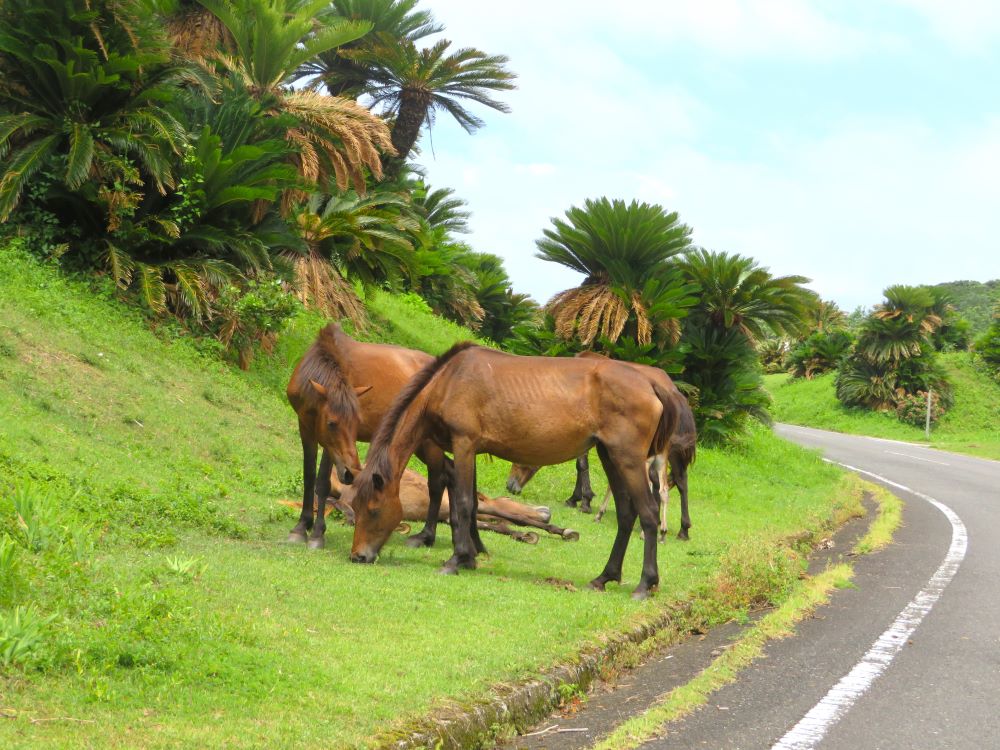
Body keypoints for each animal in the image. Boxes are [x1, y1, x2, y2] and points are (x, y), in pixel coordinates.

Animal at [286, 326, 450, 548]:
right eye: (331, 423)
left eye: (357, 423)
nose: (351, 473)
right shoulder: (306, 428)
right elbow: (309, 476)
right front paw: (301, 527)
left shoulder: (330, 448)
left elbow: (322, 483)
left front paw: (318, 533)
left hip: (430, 444)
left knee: (437, 483)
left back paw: (426, 536)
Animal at [508, 352, 696, 540]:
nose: (510, 486)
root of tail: (674, 392)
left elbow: (581, 465)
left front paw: (582, 501)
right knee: (674, 482)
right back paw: (676, 529)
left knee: (672, 482)